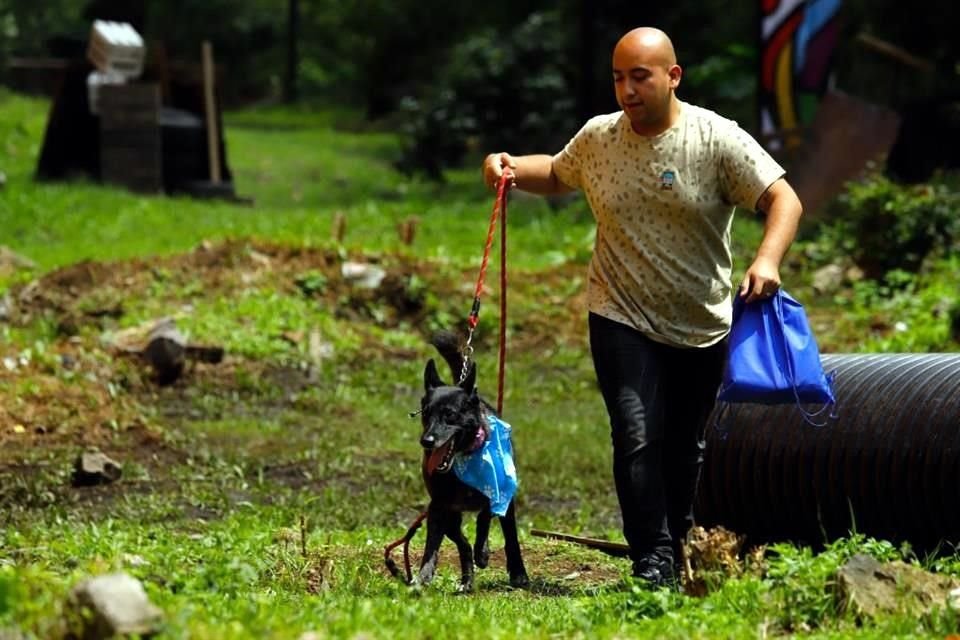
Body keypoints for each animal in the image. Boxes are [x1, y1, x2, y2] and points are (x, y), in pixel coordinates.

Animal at [416, 332, 528, 592]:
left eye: (449, 414)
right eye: (425, 413)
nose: (427, 441)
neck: (466, 457)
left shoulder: (499, 493)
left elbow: (486, 517)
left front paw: (485, 552)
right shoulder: (438, 507)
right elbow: (432, 545)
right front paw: (423, 576)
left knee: (508, 534)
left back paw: (511, 569)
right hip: (450, 515)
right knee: (461, 542)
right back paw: (467, 578)